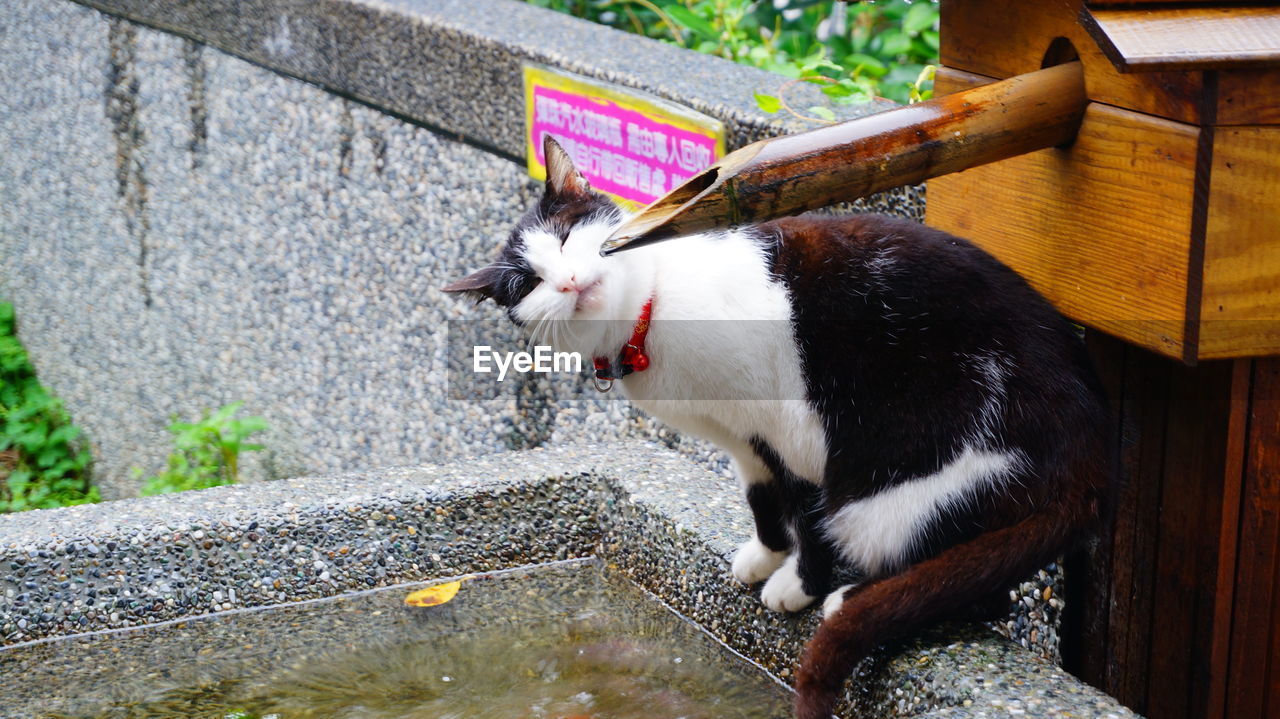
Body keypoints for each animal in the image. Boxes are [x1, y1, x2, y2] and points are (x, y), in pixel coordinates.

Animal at [450, 136, 1111, 711]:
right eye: (528, 283)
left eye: (567, 238)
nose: (566, 280)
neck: (648, 319)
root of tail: (1091, 456)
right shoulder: (742, 438)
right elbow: (763, 496)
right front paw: (765, 555)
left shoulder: (799, 429)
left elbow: (809, 512)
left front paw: (798, 584)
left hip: (893, 483)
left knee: (954, 569)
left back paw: (848, 598)